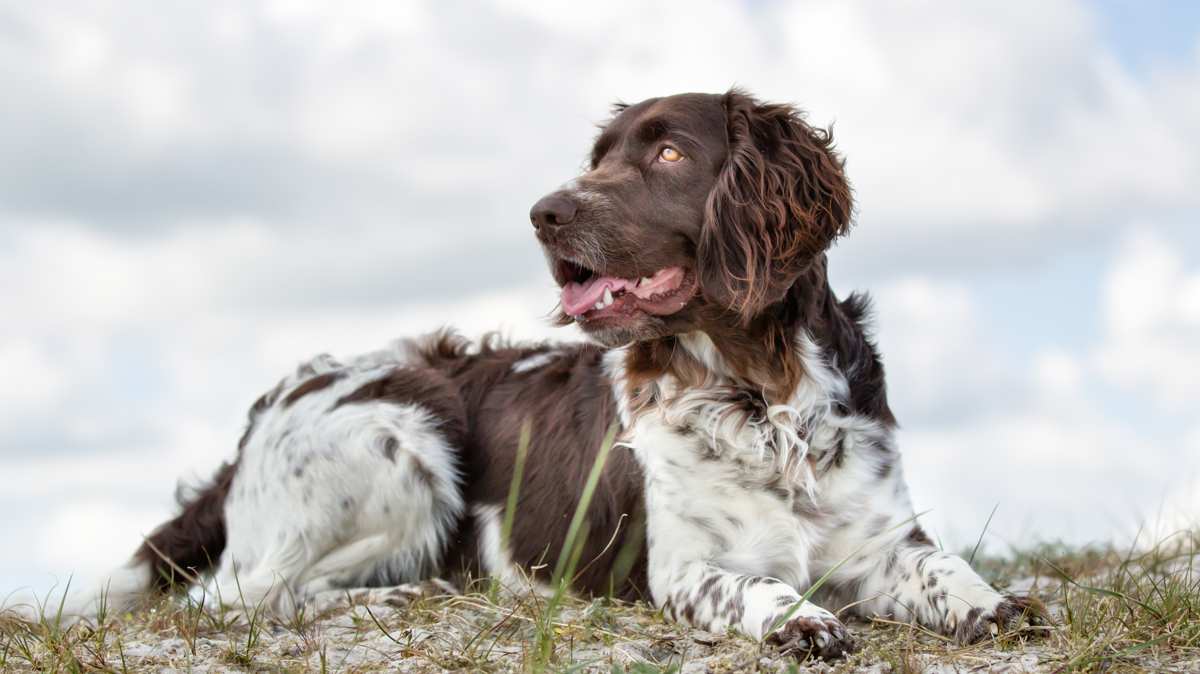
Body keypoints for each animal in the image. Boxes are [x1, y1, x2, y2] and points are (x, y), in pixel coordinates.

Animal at [30, 88, 1041, 657]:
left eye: (669, 151)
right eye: (596, 158)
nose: (544, 212)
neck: (760, 393)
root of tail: (258, 419)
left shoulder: (881, 539)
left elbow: (947, 570)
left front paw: (998, 606)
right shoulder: (680, 566)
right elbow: (751, 585)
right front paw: (800, 619)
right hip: (408, 419)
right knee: (256, 594)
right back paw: (408, 592)